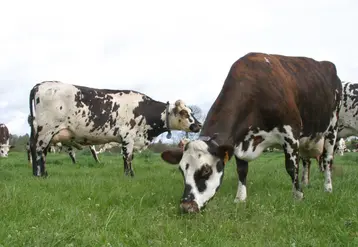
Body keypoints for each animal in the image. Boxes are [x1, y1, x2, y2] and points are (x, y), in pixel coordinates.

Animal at [28, 82, 201, 177]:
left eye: (191, 111)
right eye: (184, 113)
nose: (198, 125)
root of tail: (40, 85)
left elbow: (128, 158)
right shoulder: (128, 138)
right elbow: (128, 158)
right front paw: (129, 176)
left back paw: (42, 173)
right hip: (45, 131)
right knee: (38, 150)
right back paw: (39, 174)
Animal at [159, 52, 342, 214]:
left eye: (206, 171)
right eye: (182, 171)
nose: (186, 206)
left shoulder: (291, 133)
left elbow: (291, 167)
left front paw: (298, 196)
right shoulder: (240, 140)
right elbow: (242, 170)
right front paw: (240, 198)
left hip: (332, 128)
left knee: (327, 160)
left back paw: (328, 188)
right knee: (307, 162)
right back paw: (307, 183)